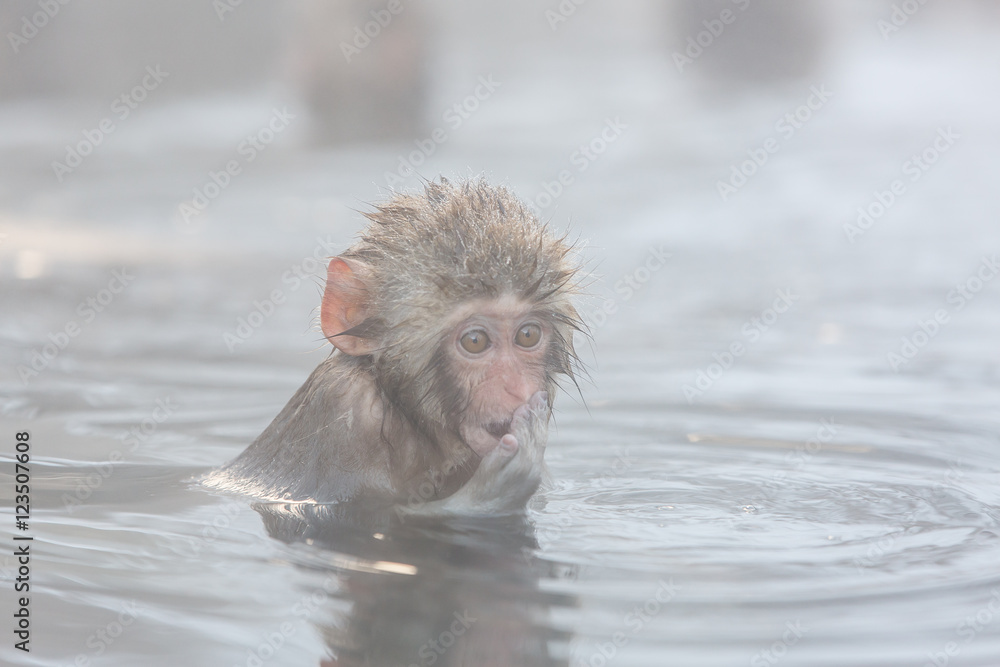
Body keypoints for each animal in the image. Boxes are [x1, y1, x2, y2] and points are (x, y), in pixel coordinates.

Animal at [204, 178, 584, 515]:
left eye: (527, 335)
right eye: (475, 341)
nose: (518, 389)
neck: (410, 419)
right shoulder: (345, 408)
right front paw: (506, 480)